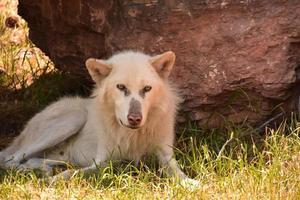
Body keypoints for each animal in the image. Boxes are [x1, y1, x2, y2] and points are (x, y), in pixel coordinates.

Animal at [0, 50, 199, 187]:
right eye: (121, 87)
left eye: (147, 89)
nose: (135, 119)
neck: (132, 136)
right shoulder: (102, 161)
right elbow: (74, 174)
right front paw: (53, 181)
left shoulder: (165, 156)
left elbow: (177, 172)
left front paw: (191, 183)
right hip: (74, 118)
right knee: (10, 160)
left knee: (34, 161)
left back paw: (47, 169)